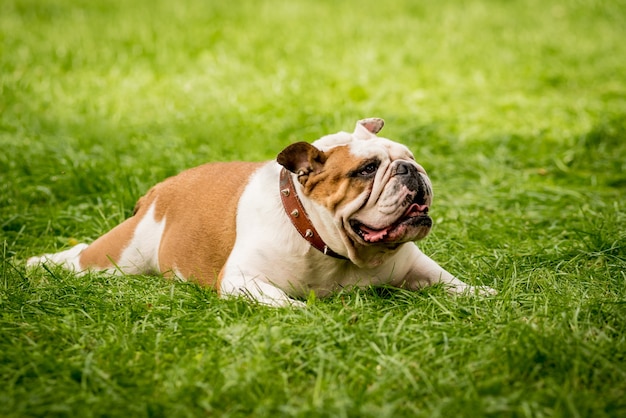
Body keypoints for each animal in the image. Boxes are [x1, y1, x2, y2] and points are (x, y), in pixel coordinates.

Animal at [26, 119, 492, 306]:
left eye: (409, 157)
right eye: (366, 170)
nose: (411, 170)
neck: (333, 249)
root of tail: (161, 188)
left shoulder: (416, 266)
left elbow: (450, 281)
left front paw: (484, 294)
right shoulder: (242, 280)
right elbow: (282, 301)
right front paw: (305, 312)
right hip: (119, 257)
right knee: (83, 255)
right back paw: (38, 263)